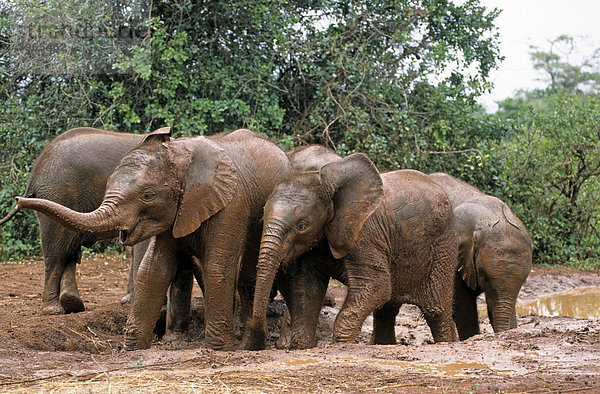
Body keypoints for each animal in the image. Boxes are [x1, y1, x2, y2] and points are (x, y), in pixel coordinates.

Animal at [0, 127, 152, 316]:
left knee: (68, 249)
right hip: (59, 193)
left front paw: (129, 301)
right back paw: (54, 310)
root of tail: (35, 172)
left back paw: (72, 304)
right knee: (58, 251)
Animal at [17, 127, 290, 350]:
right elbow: (154, 269)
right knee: (61, 250)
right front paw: (133, 348)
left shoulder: (232, 204)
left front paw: (218, 348)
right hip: (58, 192)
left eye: (148, 195)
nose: (18, 202)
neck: (181, 155)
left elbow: (216, 266)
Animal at [241, 149, 458, 350]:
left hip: (443, 247)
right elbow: (307, 287)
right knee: (387, 310)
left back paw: (445, 341)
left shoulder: (365, 234)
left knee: (436, 310)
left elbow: (376, 286)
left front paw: (341, 344)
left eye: (302, 225)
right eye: (261, 218)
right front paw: (302, 345)